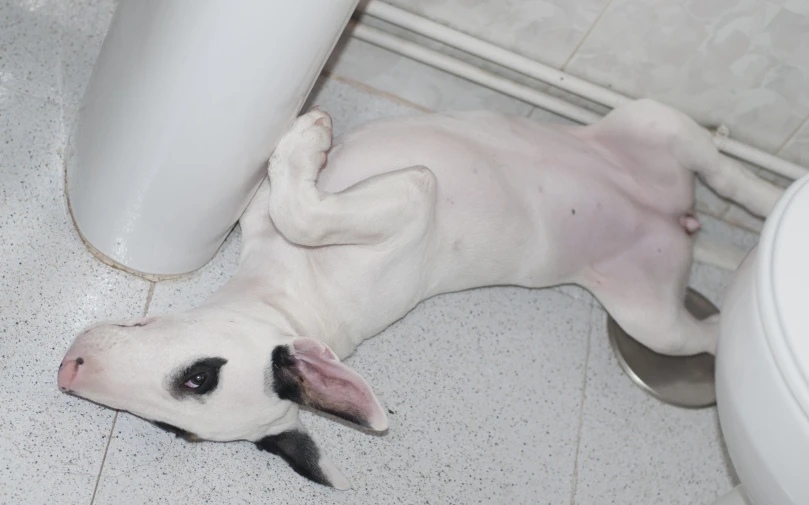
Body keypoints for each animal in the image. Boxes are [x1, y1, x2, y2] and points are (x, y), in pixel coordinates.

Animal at [55, 99, 776, 488]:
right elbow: (290, 203)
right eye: (169, 431)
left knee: (730, 189)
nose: (68, 370)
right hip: (645, 299)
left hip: (658, 238)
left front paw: (309, 139)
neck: (294, 291)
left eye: (199, 378)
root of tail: (678, 218)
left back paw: (764, 223)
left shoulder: (412, 196)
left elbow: (301, 208)